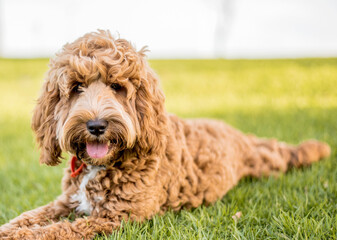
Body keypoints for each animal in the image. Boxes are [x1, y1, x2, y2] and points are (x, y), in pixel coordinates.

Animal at [0, 31, 330, 239]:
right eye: (76, 87)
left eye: (117, 87)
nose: (96, 126)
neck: (106, 164)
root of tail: (233, 131)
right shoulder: (66, 202)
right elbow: (28, 217)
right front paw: (9, 229)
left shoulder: (115, 218)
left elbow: (59, 229)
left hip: (267, 162)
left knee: (284, 153)